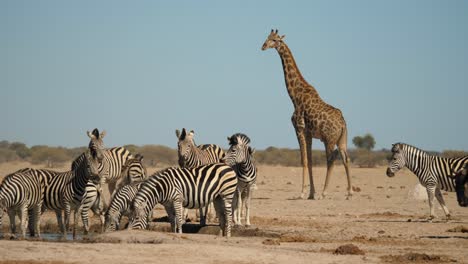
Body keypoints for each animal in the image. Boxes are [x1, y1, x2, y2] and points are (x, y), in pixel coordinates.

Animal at [262, 28, 352, 199]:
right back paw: (349, 192)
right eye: (267, 37)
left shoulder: (299, 128)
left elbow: (303, 160)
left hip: (329, 139)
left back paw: (324, 192)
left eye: (276, 40)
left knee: (331, 159)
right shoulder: (309, 133)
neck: (294, 96)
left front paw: (303, 192)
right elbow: (309, 160)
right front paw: (311, 193)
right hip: (342, 139)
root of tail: (343, 123)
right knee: (346, 158)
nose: (263, 46)